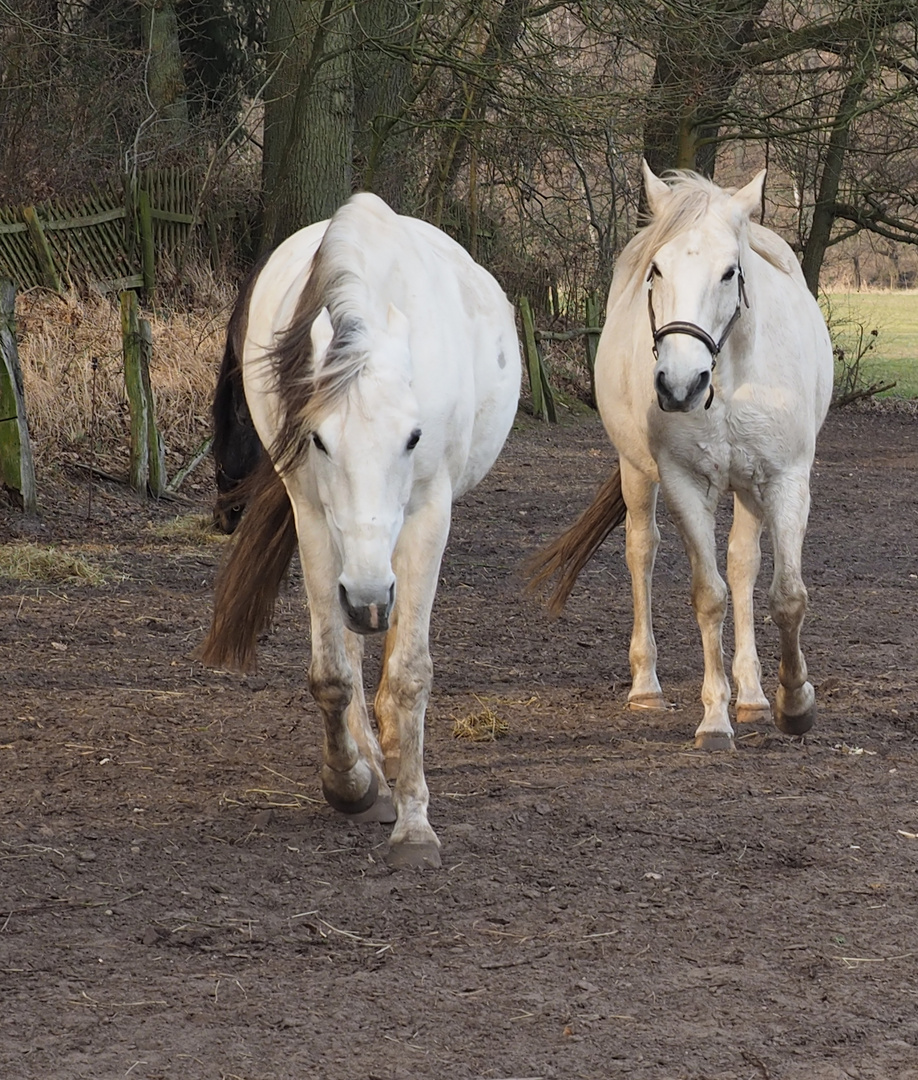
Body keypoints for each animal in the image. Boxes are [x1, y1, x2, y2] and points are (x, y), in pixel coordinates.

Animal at [197, 192, 518, 868]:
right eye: (319, 439)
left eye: (414, 436)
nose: (366, 596)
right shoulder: (315, 516)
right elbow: (334, 671)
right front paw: (350, 782)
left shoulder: (427, 517)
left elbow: (410, 672)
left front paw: (415, 824)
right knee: (354, 638)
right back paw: (373, 757)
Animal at [524, 164, 833, 751]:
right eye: (658, 270)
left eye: (730, 272)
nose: (680, 384)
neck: (731, 379)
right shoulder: (685, 483)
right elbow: (708, 596)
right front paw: (714, 720)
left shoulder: (785, 481)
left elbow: (786, 596)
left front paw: (794, 704)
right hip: (636, 474)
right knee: (641, 552)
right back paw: (647, 686)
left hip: (749, 490)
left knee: (743, 564)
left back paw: (754, 696)